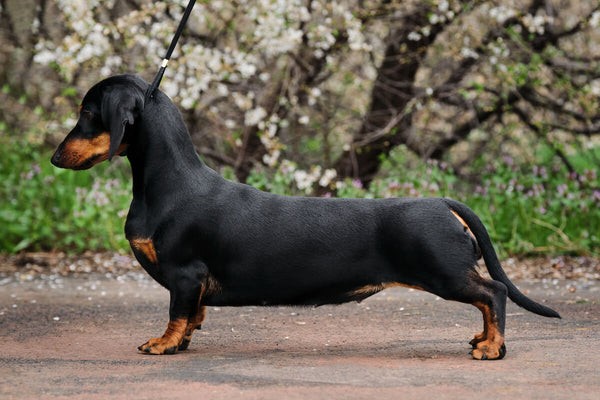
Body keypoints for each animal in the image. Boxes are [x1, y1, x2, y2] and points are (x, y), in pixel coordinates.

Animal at [49, 75, 560, 360]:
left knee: (493, 294)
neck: (169, 184)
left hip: (444, 273)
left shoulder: (184, 274)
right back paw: (484, 340)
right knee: (488, 298)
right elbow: (193, 315)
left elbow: (177, 314)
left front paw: (164, 344)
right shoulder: (191, 284)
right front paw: (185, 339)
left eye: (87, 112)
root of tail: (441, 201)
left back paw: (491, 347)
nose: (54, 158)